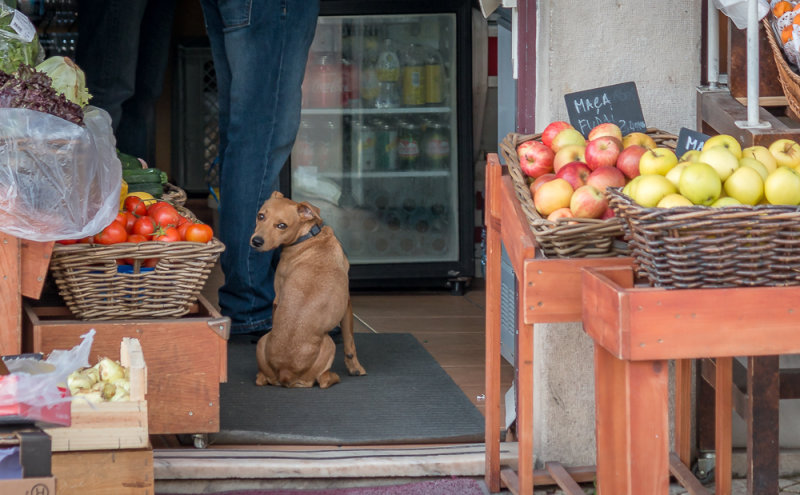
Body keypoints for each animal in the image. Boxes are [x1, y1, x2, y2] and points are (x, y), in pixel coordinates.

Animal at [248, 192, 368, 390]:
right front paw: (355, 368)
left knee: (261, 378)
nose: (256, 241)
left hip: (266, 340)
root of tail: (285, 372)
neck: (310, 238)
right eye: (261, 216)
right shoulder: (347, 305)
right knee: (322, 381)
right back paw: (334, 377)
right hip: (326, 344)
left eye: (282, 225)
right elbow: (350, 342)